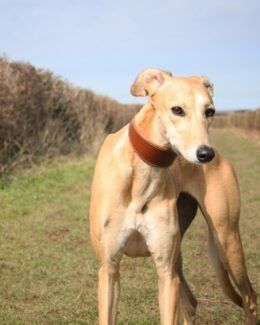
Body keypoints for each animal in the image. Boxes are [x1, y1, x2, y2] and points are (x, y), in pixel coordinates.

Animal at [89, 67, 256, 322]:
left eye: (210, 111)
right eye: (177, 109)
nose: (205, 154)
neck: (142, 173)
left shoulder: (165, 272)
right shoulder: (109, 268)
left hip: (226, 240)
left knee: (250, 297)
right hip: (181, 257)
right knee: (191, 302)